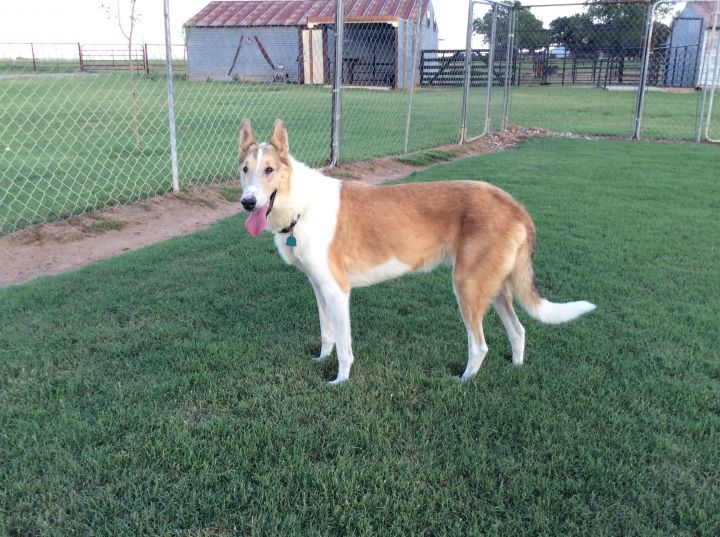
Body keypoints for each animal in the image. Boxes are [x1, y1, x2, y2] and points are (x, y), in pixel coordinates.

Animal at [239, 119, 592, 384]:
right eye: (244, 169)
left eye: (269, 170)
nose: (248, 202)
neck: (300, 205)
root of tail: (513, 205)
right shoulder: (319, 288)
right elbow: (328, 336)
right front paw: (320, 360)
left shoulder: (338, 292)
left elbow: (344, 347)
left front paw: (340, 380)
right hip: (495, 288)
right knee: (518, 331)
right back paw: (516, 370)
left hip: (467, 287)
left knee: (480, 346)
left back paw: (464, 380)